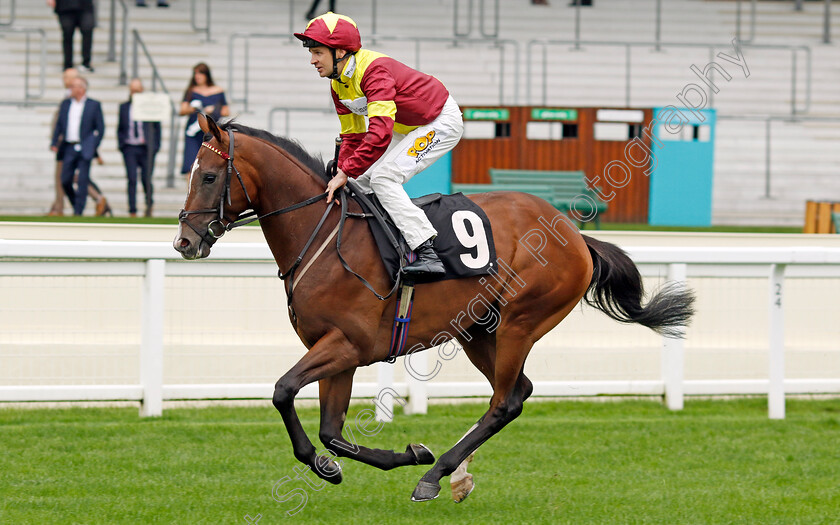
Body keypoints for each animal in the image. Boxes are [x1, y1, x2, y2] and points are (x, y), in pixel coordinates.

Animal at [172, 113, 696, 500]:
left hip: (521, 321)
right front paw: (376, 458)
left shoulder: (347, 345)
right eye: (193, 174)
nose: (184, 241)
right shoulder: (336, 351)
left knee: (504, 401)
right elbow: (331, 431)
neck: (320, 235)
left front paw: (349, 464)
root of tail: (572, 232)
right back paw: (454, 472)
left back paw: (436, 475)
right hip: (478, 330)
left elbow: (283, 392)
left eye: (210, 176)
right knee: (518, 391)